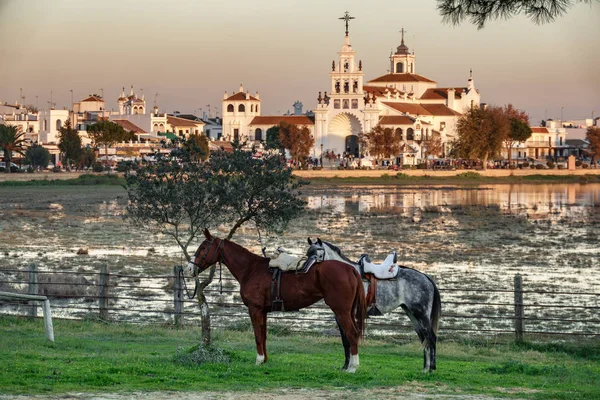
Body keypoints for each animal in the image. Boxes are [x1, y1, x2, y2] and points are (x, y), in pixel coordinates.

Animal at [189, 230, 366, 374]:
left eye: (203, 248)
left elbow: (257, 336)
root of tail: (350, 269)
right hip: (348, 311)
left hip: (341, 311)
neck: (251, 269)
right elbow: (263, 335)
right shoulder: (263, 311)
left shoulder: (254, 309)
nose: (190, 268)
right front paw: (264, 361)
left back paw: (352, 367)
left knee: (352, 333)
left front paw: (258, 360)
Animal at [310, 238, 440, 372]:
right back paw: (425, 369)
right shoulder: (340, 315)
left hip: (421, 314)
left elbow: (350, 338)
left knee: (431, 337)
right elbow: (345, 341)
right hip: (412, 314)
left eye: (318, 254)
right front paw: (345, 367)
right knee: (423, 338)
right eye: (308, 253)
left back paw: (432, 369)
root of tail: (425, 277)